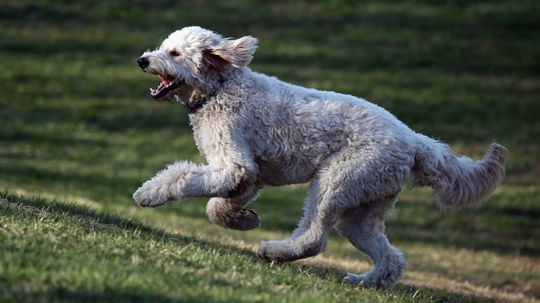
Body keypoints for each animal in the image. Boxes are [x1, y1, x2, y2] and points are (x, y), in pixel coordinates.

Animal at [133, 26, 508, 290]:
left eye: (174, 52)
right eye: (164, 47)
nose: (142, 60)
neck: (221, 88)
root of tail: (414, 141)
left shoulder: (235, 165)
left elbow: (184, 177)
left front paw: (149, 193)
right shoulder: (249, 176)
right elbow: (217, 206)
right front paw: (242, 219)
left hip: (335, 182)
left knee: (314, 238)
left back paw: (275, 251)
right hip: (362, 209)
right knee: (392, 258)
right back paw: (364, 283)